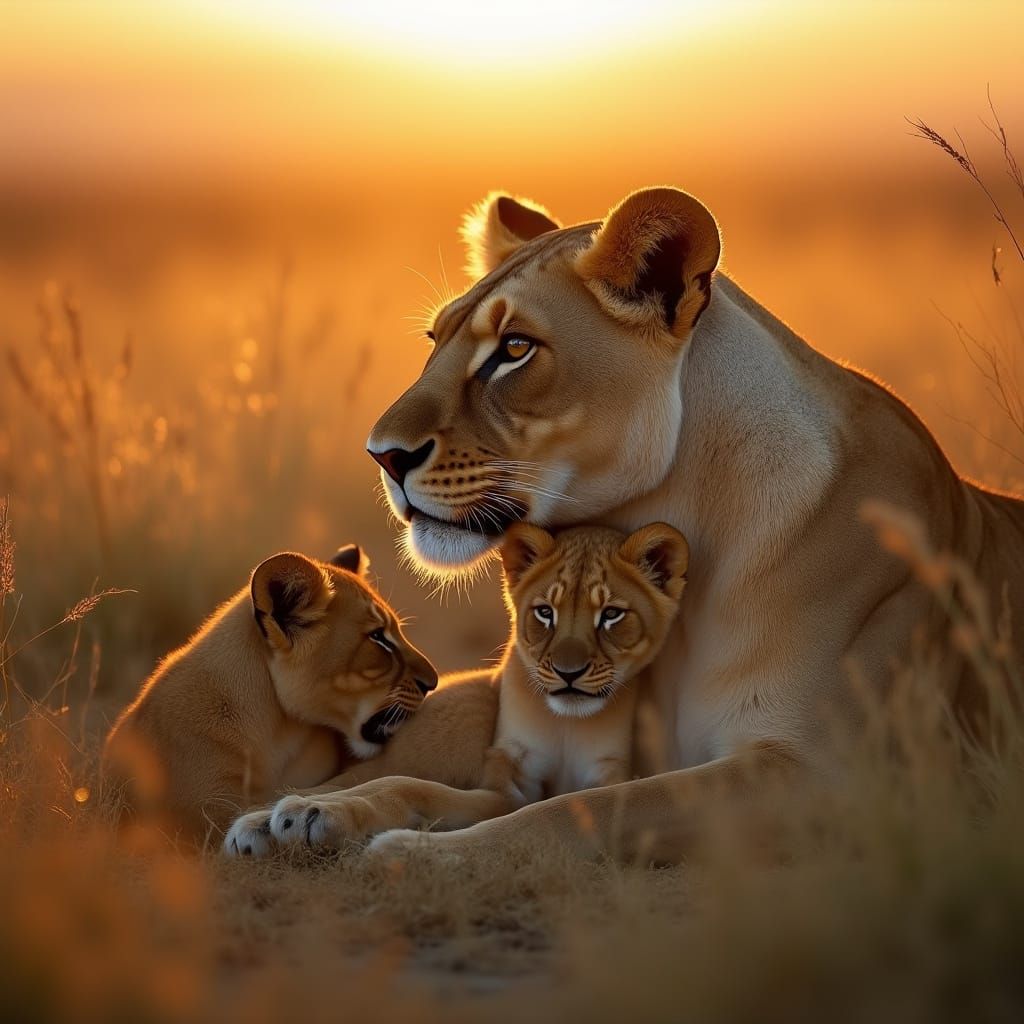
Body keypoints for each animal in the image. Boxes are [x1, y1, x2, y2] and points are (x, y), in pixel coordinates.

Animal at [228, 186, 1024, 864]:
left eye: (514, 349)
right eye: (435, 338)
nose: (382, 455)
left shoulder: (828, 779)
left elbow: (575, 814)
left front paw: (417, 856)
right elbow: (427, 785)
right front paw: (305, 813)